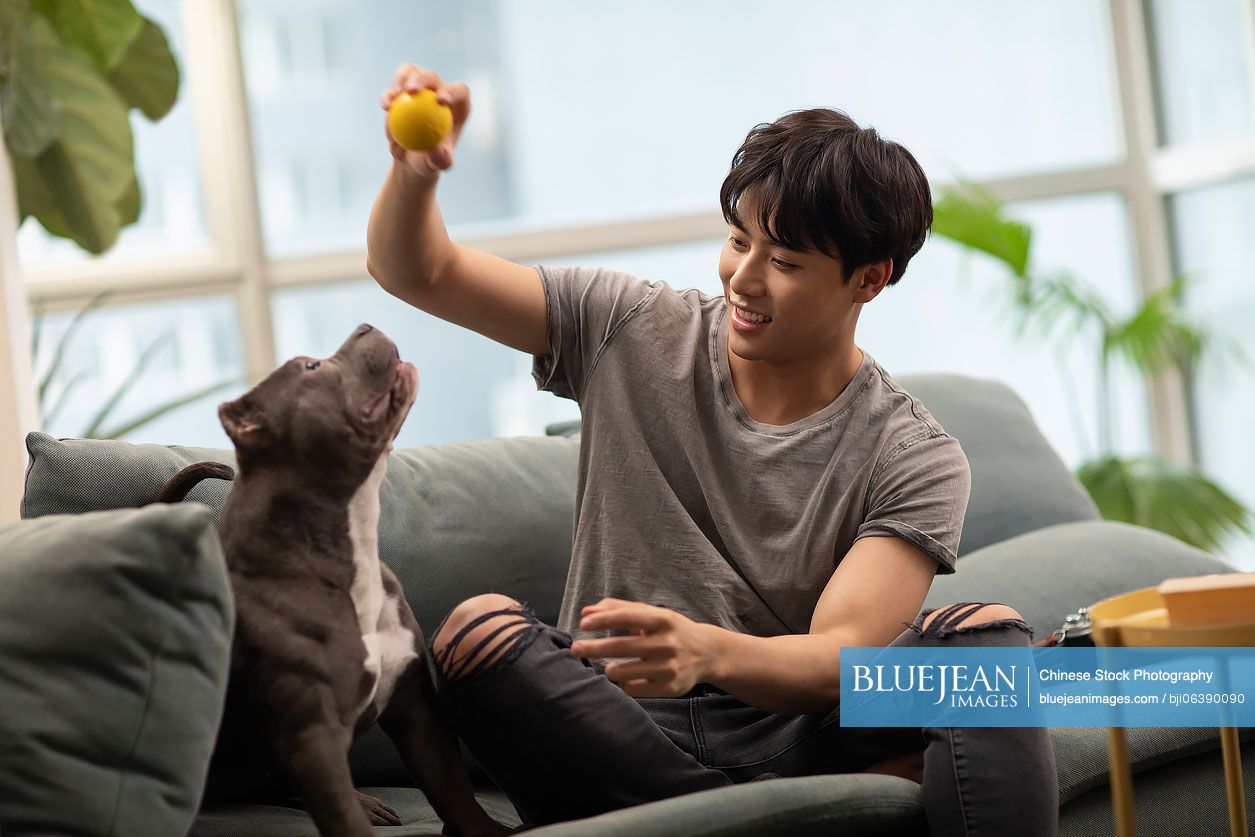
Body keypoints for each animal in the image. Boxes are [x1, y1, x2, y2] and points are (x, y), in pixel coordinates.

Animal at [160, 326, 509, 837]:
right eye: (311, 367)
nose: (366, 327)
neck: (343, 558)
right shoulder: (313, 739)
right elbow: (344, 818)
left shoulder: (416, 710)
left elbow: (454, 791)